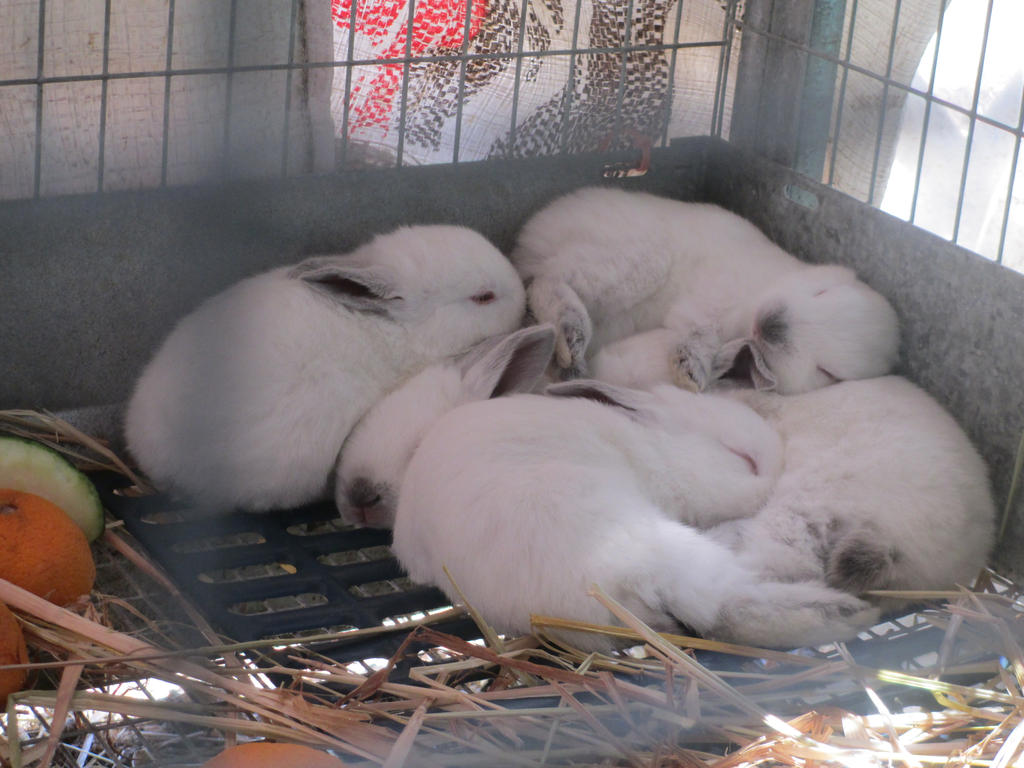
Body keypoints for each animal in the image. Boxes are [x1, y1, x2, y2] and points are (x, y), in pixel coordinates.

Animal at [512, 185, 897, 391]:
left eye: (828, 372)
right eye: (823, 292)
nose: (773, 326)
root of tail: (528, 238)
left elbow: (698, 334)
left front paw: (689, 373)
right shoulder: (711, 300)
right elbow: (698, 328)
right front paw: (690, 372)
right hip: (632, 262)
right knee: (547, 281)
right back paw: (571, 339)